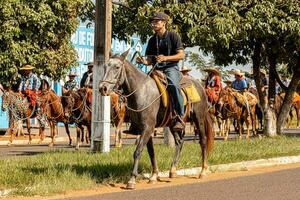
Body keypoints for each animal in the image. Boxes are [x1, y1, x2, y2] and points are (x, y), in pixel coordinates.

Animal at [99, 50, 214, 190]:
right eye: (105, 66)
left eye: (117, 67)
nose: (103, 88)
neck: (142, 91)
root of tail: (200, 85)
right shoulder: (145, 128)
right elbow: (151, 152)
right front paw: (154, 175)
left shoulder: (148, 127)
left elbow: (138, 151)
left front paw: (132, 180)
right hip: (172, 124)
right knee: (179, 142)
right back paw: (173, 170)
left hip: (199, 119)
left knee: (203, 141)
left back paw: (203, 171)